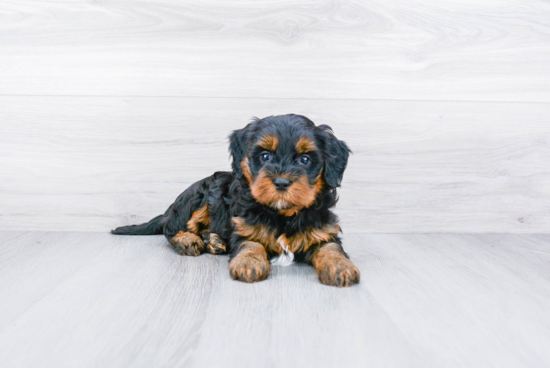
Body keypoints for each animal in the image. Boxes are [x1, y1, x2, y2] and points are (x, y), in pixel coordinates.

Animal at [113, 113, 362, 286]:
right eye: (265, 156)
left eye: (304, 159)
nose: (281, 182)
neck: (283, 213)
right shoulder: (244, 226)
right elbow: (250, 242)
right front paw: (248, 262)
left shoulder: (323, 230)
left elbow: (331, 247)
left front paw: (341, 267)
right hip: (200, 195)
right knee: (171, 227)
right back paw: (188, 240)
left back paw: (214, 240)